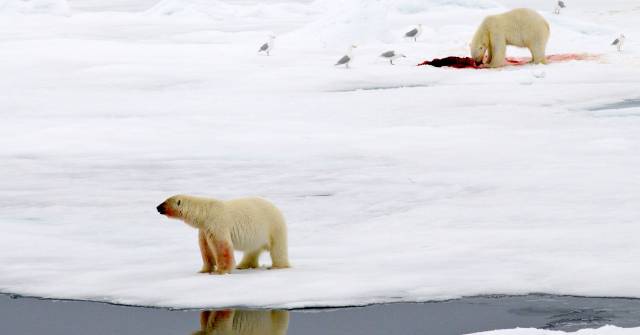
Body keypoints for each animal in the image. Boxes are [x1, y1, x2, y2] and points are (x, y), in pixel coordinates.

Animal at [156, 194, 292, 276]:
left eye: (165, 202)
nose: (157, 207)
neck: (205, 213)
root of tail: (277, 209)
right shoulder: (204, 229)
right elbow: (205, 249)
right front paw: (204, 270)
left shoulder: (217, 224)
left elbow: (222, 247)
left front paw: (220, 271)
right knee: (252, 250)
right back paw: (243, 265)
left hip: (273, 227)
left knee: (278, 248)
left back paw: (277, 266)